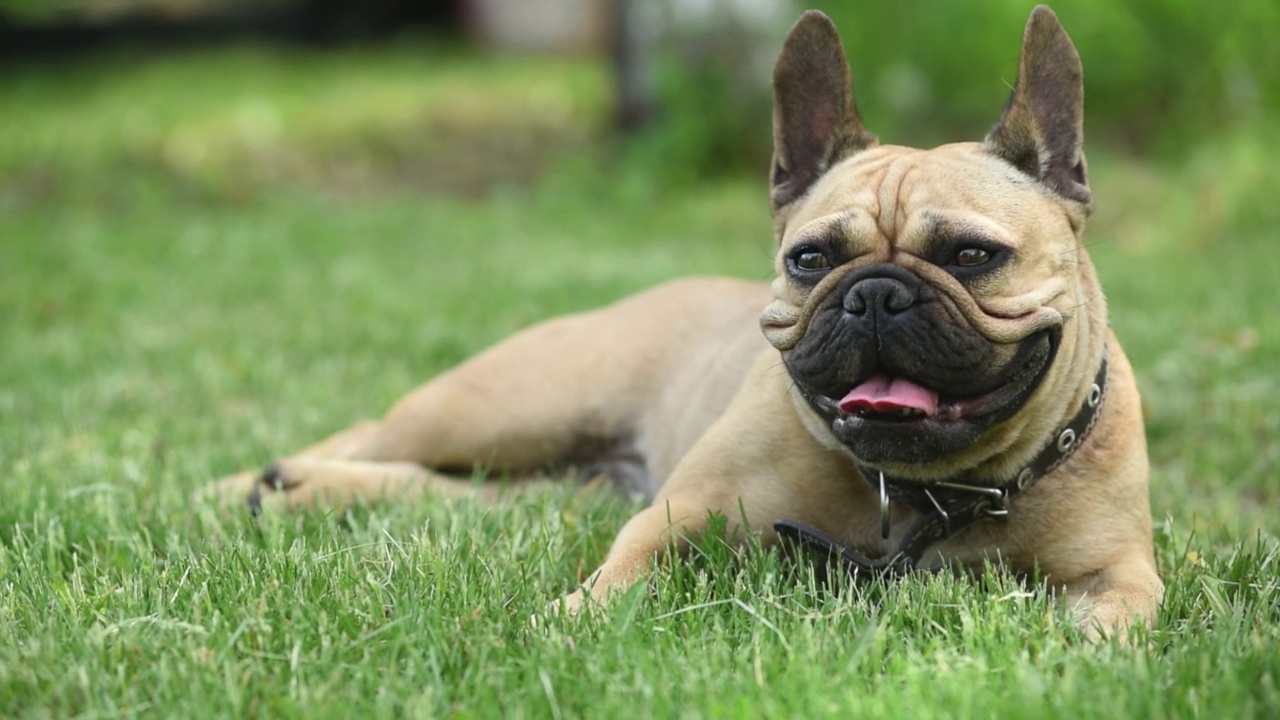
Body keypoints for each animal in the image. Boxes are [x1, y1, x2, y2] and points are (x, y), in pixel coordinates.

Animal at [212, 5, 1172, 632]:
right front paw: (575, 619)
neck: (918, 493)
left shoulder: (1120, 570)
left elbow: (1116, 621)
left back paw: (300, 493)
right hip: (503, 404)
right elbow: (624, 569)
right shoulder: (683, 512)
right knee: (379, 435)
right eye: (810, 260)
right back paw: (249, 485)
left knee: (451, 489)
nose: (874, 292)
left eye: (972, 255)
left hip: (552, 477)